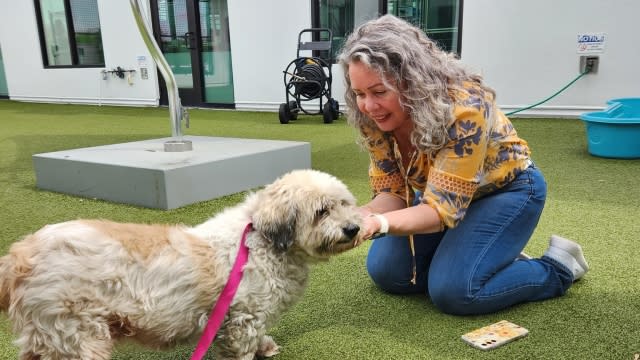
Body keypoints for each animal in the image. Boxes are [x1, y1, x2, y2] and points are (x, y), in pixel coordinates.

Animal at [0, 169, 362, 360]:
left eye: (346, 204)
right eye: (322, 211)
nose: (353, 228)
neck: (262, 240)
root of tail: (19, 255)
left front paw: (267, 346)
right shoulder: (242, 319)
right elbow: (244, 347)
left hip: (49, 335)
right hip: (76, 335)